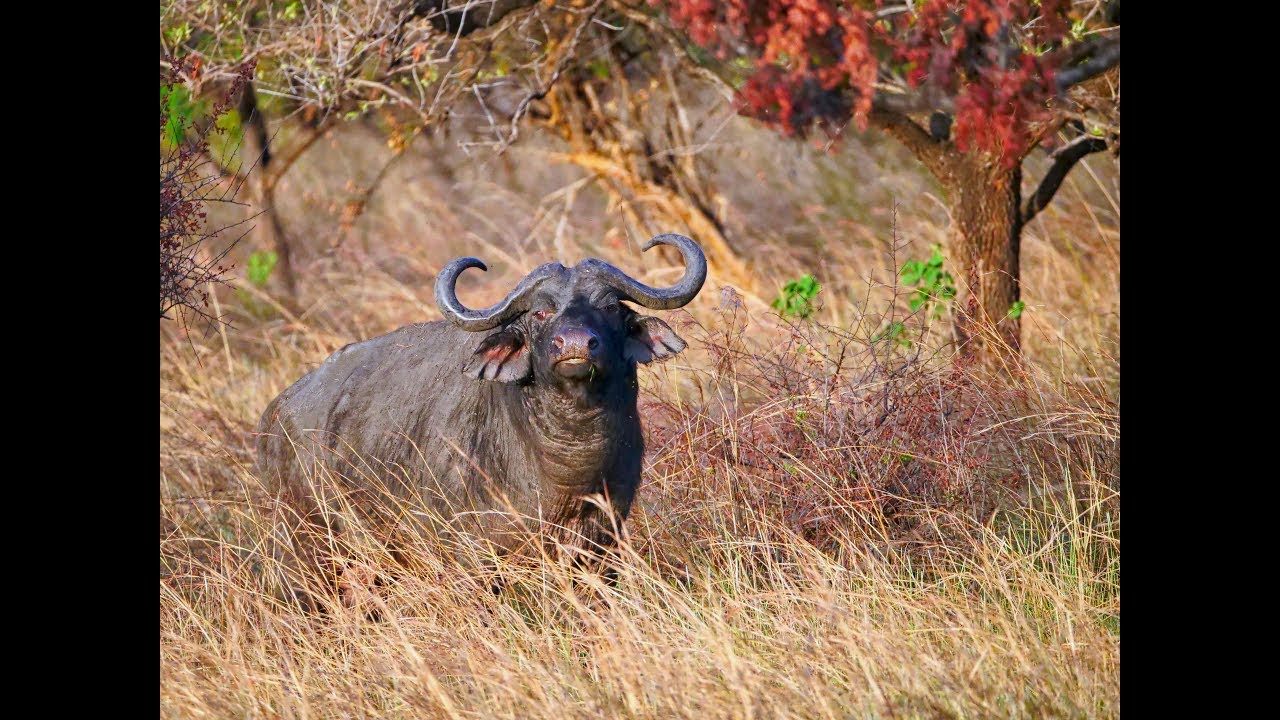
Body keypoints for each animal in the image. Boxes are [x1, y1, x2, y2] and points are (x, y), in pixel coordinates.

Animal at [255, 233, 706, 601]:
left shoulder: (601, 544)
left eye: (610, 307)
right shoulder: (470, 557)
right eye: (540, 313)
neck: (567, 466)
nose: (576, 344)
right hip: (304, 553)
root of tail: (276, 412)